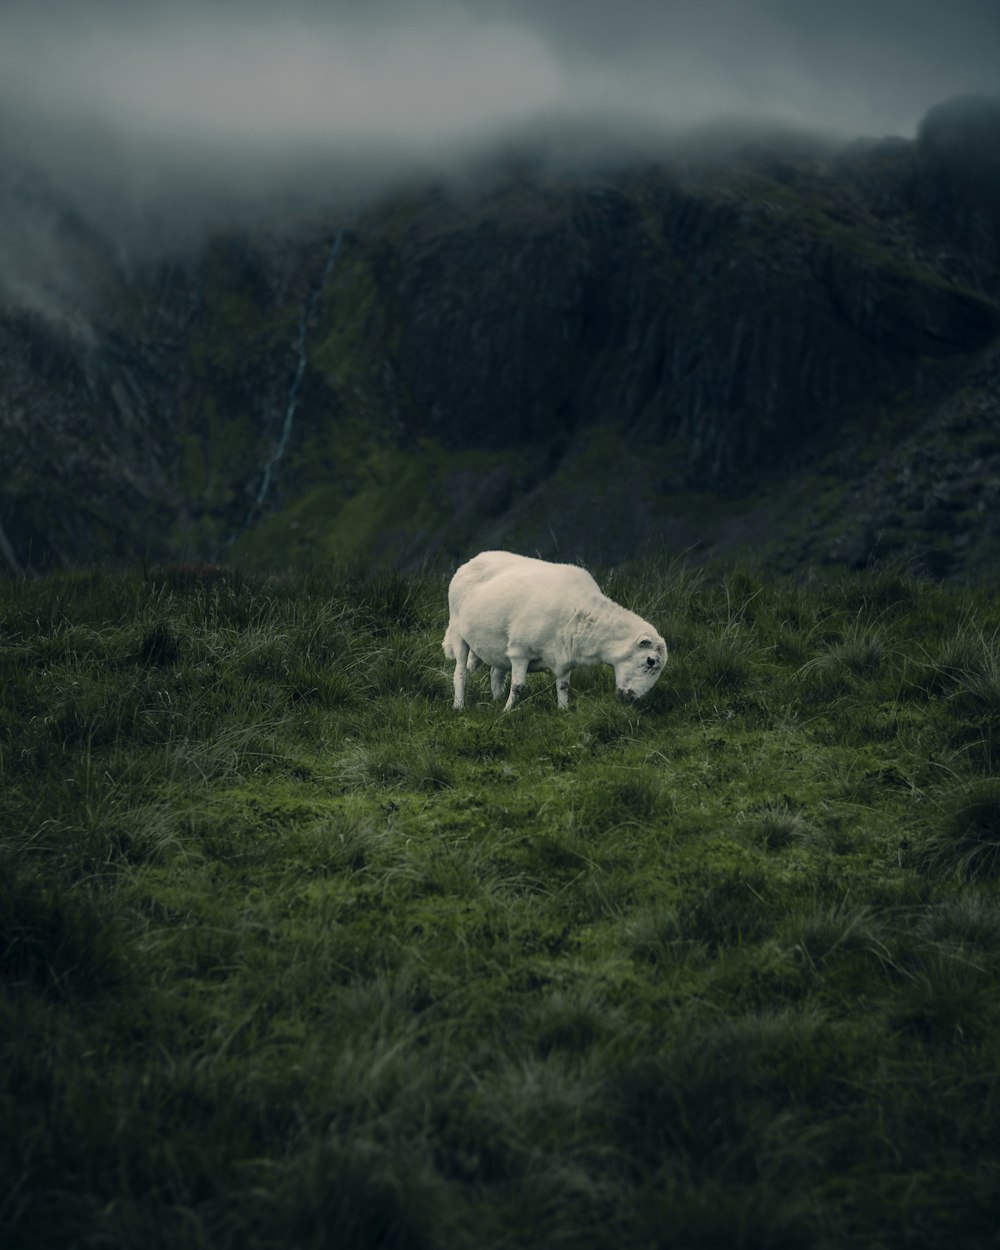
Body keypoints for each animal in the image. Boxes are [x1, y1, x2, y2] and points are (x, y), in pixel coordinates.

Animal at [442, 550, 665, 710]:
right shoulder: (520, 651)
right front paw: (507, 712)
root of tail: (471, 561)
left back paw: (496, 699)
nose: (632, 698)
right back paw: (459, 706)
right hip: (459, 633)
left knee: (496, 673)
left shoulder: (565, 658)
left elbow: (563, 687)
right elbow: (518, 686)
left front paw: (563, 711)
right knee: (460, 672)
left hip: (498, 647)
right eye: (650, 661)